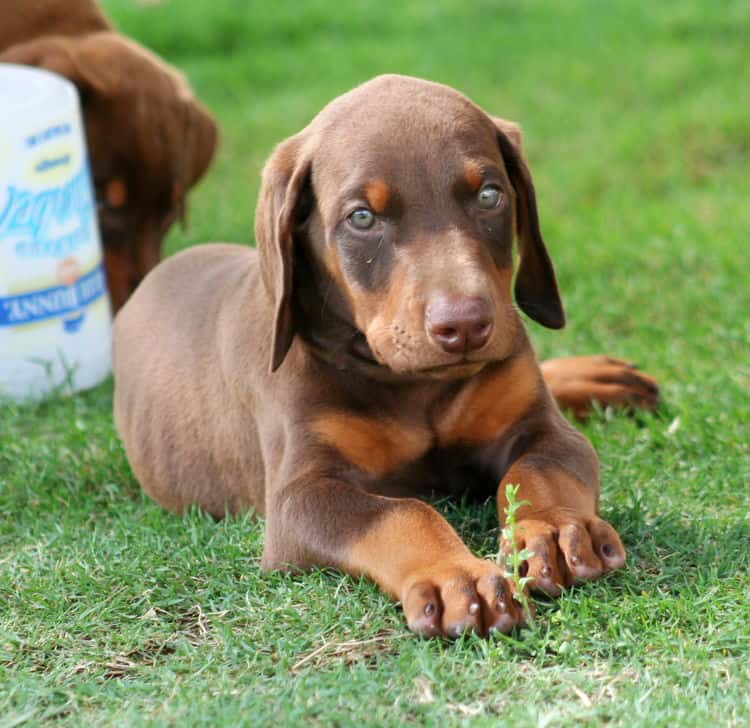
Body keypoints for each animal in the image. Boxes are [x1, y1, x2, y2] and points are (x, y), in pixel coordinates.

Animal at [111, 75, 656, 636]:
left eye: (489, 195)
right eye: (362, 217)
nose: (464, 325)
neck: (413, 385)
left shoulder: (541, 426)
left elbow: (540, 470)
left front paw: (555, 530)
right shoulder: (302, 494)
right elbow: (404, 512)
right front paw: (456, 576)